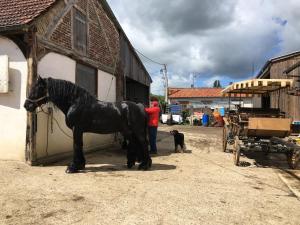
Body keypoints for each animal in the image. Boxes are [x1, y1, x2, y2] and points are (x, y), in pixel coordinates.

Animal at [23, 76, 151, 173]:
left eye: (38, 88)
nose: (26, 105)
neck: (75, 103)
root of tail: (139, 106)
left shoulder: (77, 129)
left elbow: (76, 145)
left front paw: (72, 167)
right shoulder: (78, 130)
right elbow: (80, 145)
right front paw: (80, 165)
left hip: (138, 131)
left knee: (143, 143)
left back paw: (145, 165)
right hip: (127, 131)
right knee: (135, 143)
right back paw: (134, 163)